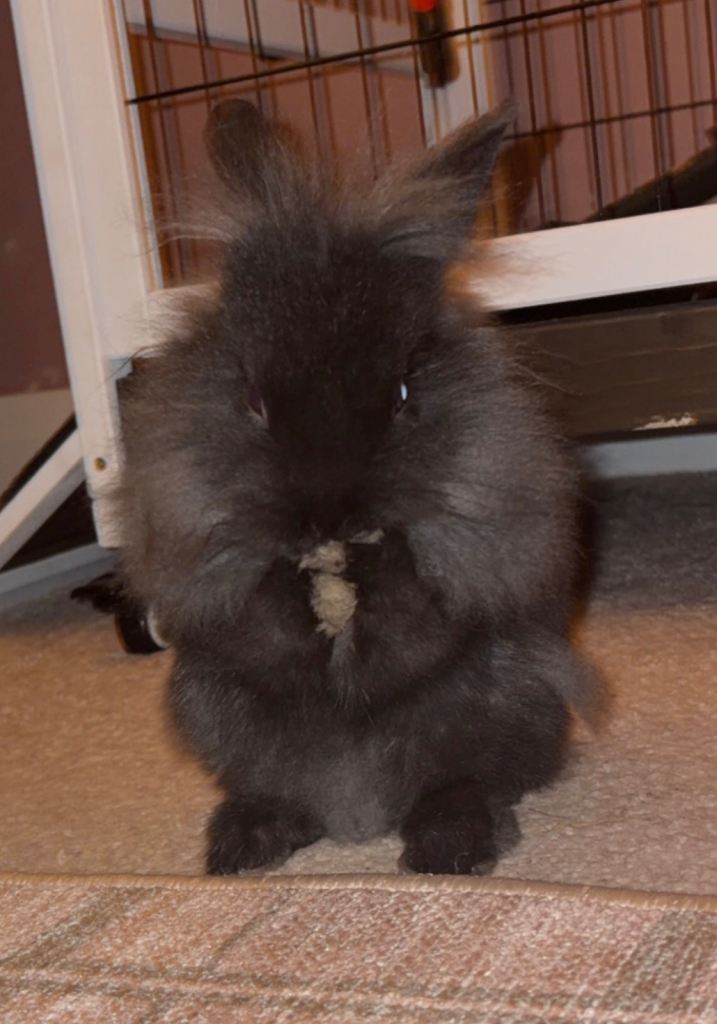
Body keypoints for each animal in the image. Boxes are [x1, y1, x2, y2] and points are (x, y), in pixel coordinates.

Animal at [117, 98, 598, 876]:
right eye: (254, 402)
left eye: (402, 393)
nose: (326, 518)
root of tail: (359, 817)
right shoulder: (203, 586)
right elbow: (262, 623)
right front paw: (307, 585)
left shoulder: (485, 565)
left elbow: (416, 615)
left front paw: (367, 571)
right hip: (210, 707)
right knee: (275, 790)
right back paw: (244, 845)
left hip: (511, 702)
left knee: (468, 779)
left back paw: (450, 847)